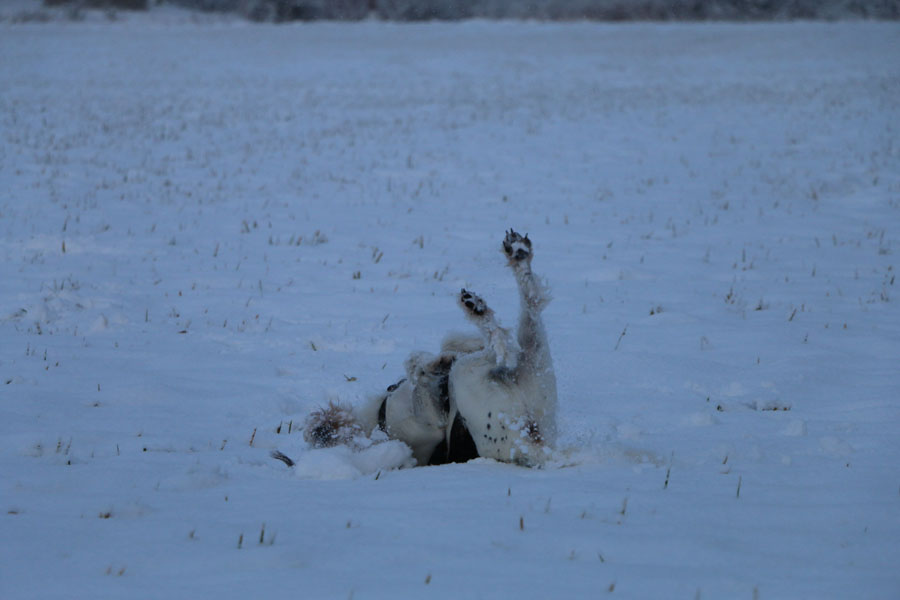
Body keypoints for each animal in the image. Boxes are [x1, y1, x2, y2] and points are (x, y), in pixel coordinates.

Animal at [292, 227, 556, 466]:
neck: (378, 418)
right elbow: (422, 373)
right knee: (502, 346)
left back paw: (515, 257)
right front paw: (436, 364)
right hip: (485, 381)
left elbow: (439, 347)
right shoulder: (431, 419)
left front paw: (442, 357)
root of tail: (534, 445)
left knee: (528, 308)